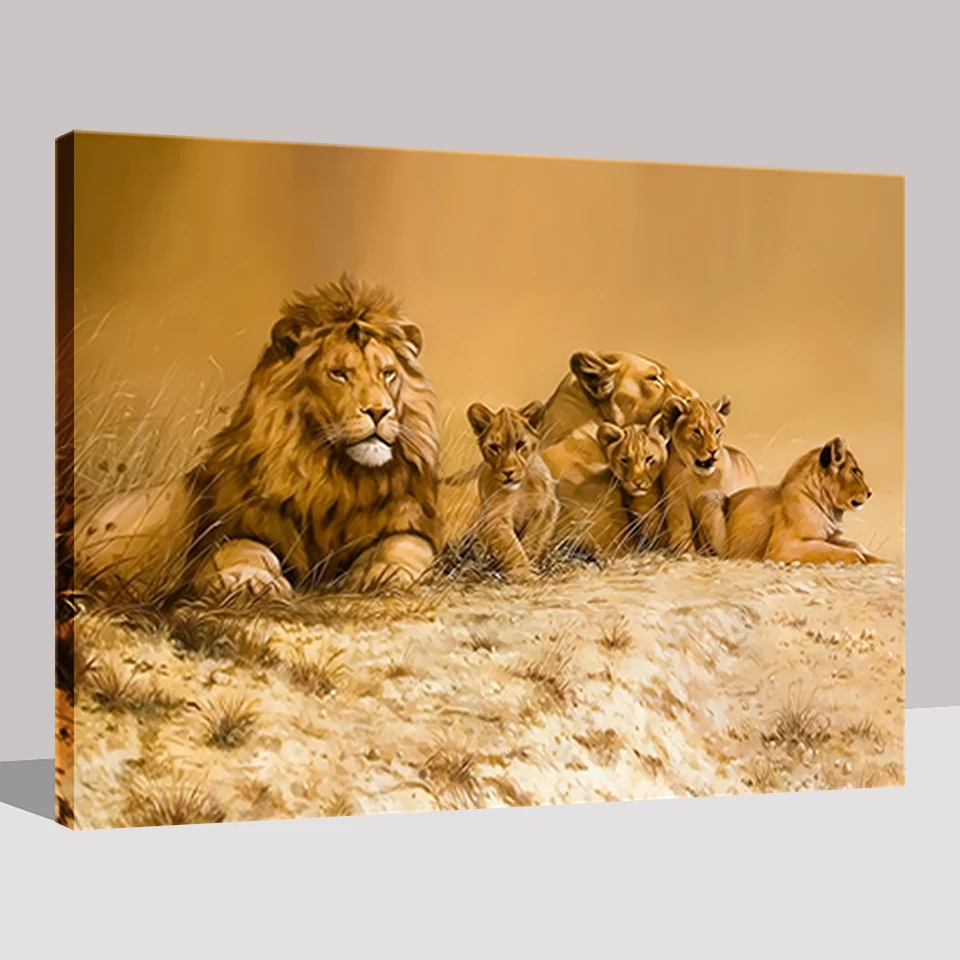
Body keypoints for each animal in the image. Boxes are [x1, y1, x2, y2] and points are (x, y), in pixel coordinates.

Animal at [74, 275, 443, 599]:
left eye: (388, 373)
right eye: (339, 373)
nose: (379, 412)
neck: (334, 478)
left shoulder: (407, 523)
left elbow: (406, 545)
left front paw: (384, 572)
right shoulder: (217, 537)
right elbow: (244, 549)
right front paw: (252, 581)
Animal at [465, 400, 559, 581]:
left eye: (520, 445)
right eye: (494, 447)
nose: (508, 472)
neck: (518, 490)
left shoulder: (546, 508)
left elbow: (531, 541)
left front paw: (530, 571)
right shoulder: (495, 517)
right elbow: (512, 548)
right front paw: (523, 573)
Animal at [659, 394, 758, 555]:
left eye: (717, 431)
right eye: (696, 432)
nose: (713, 451)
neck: (698, 477)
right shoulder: (676, 502)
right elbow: (682, 532)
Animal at [694, 436, 885, 565]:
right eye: (856, 471)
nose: (870, 492)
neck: (831, 509)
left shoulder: (830, 537)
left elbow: (854, 545)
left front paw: (877, 559)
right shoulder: (783, 548)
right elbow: (834, 551)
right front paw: (859, 557)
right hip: (710, 497)